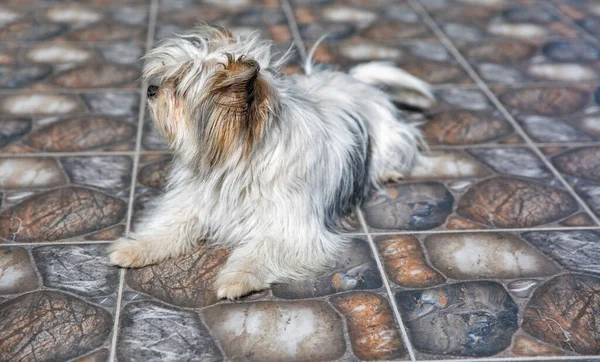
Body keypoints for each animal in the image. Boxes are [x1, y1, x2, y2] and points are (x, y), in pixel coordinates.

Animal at [109, 25, 436, 300]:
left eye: (179, 89)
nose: (151, 89)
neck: (239, 160)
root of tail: (353, 80)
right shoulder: (195, 200)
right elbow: (167, 225)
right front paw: (135, 248)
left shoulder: (292, 228)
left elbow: (262, 250)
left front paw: (237, 278)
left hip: (389, 138)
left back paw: (389, 171)